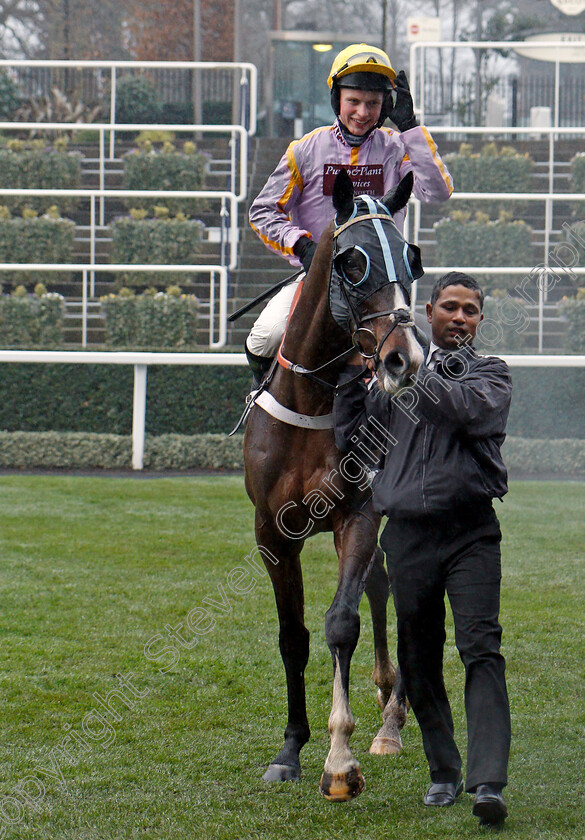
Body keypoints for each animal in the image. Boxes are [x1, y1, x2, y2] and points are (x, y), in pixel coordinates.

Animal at [243, 166, 424, 800]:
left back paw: (393, 719)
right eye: (352, 261)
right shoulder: (272, 533)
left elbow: (340, 624)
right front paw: (290, 750)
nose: (404, 358)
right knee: (382, 584)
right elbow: (291, 636)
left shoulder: (359, 515)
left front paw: (339, 760)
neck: (316, 402)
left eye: (411, 257)